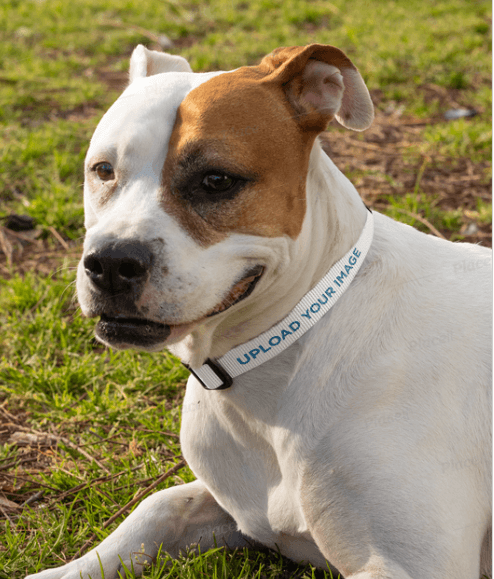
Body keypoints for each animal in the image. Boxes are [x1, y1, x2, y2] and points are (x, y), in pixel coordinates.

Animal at [28, 44, 490, 579]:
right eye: (103, 170)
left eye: (216, 180)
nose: (111, 263)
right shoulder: (239, 505)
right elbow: (158, 506)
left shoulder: (407, 566)